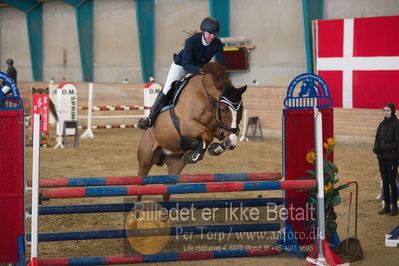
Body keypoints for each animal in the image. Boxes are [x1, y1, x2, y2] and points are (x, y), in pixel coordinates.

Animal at [139, 62, 248, 200]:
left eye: (241, 110)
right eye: (223, 110)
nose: (231, 144)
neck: (206, 96)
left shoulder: (219, 128)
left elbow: (215, 136)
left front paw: (215, 149)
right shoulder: (186, 125)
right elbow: (207, 135)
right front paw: (194, 155)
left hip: (175, 166)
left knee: (166, 191)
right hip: (145, 161)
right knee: (139, 187)